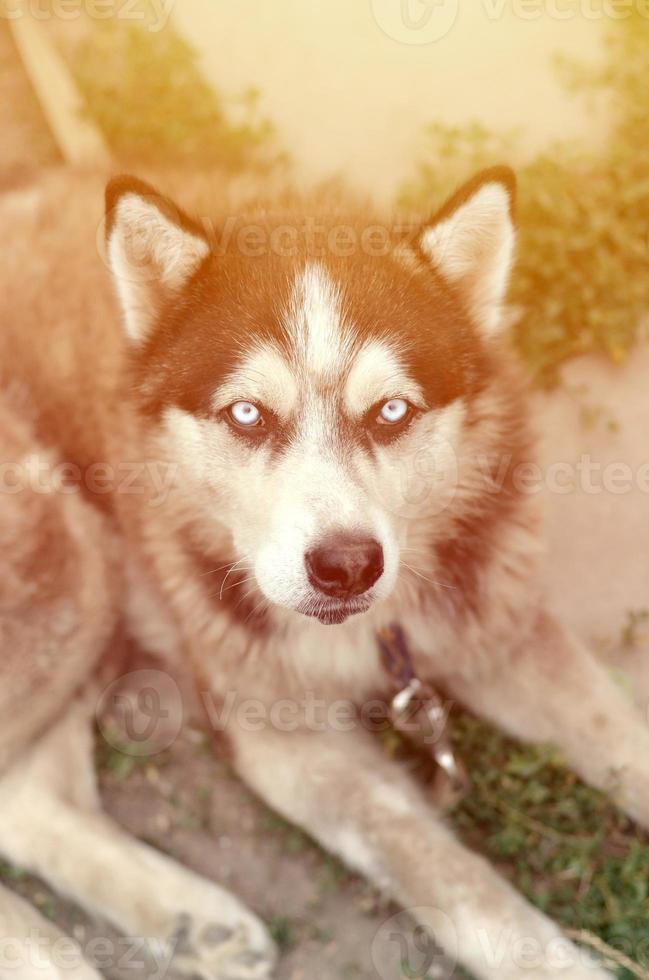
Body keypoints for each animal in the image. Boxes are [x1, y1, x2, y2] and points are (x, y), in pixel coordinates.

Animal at [1, 165, 648, 976]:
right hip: (68, 556)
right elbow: (441, 871)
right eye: (246, 414)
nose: (346, 566)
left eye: (392, 411)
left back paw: (191, 921)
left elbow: (620, 739)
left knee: (27, 800)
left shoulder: (497, 623)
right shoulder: (284, 732)